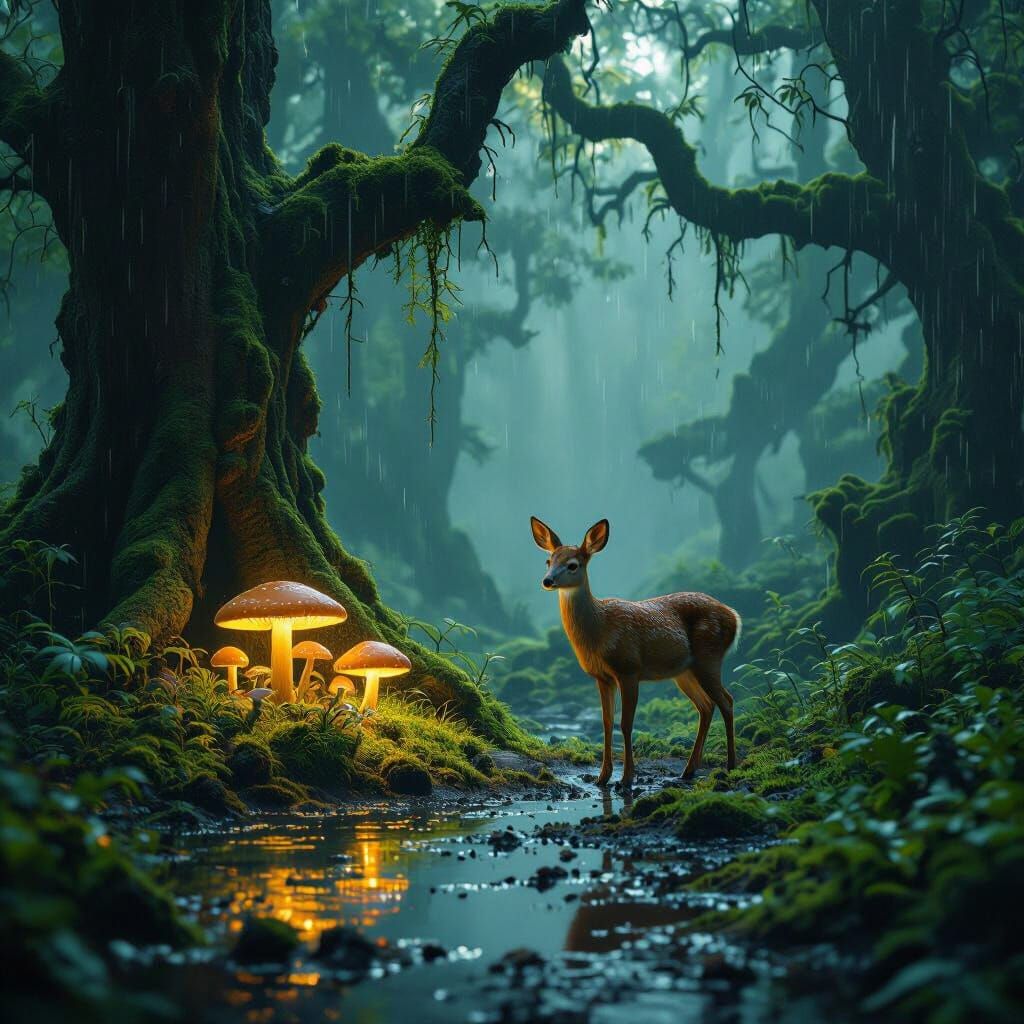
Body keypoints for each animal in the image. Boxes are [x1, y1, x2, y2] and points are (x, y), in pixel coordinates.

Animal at [530, 516, 740, 788]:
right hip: (684, 671)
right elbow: (607, 722)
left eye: (573, 565)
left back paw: (731, 765)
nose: (547, 581)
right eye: (548, 561)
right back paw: (688, 770)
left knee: (727, 701)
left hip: (709, 657)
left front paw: (627, 778)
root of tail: (734, 616)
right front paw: (602, 777)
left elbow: (626, 723)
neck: (599, 631)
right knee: (706, 706)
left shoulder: (629, 669)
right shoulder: (602, 677)